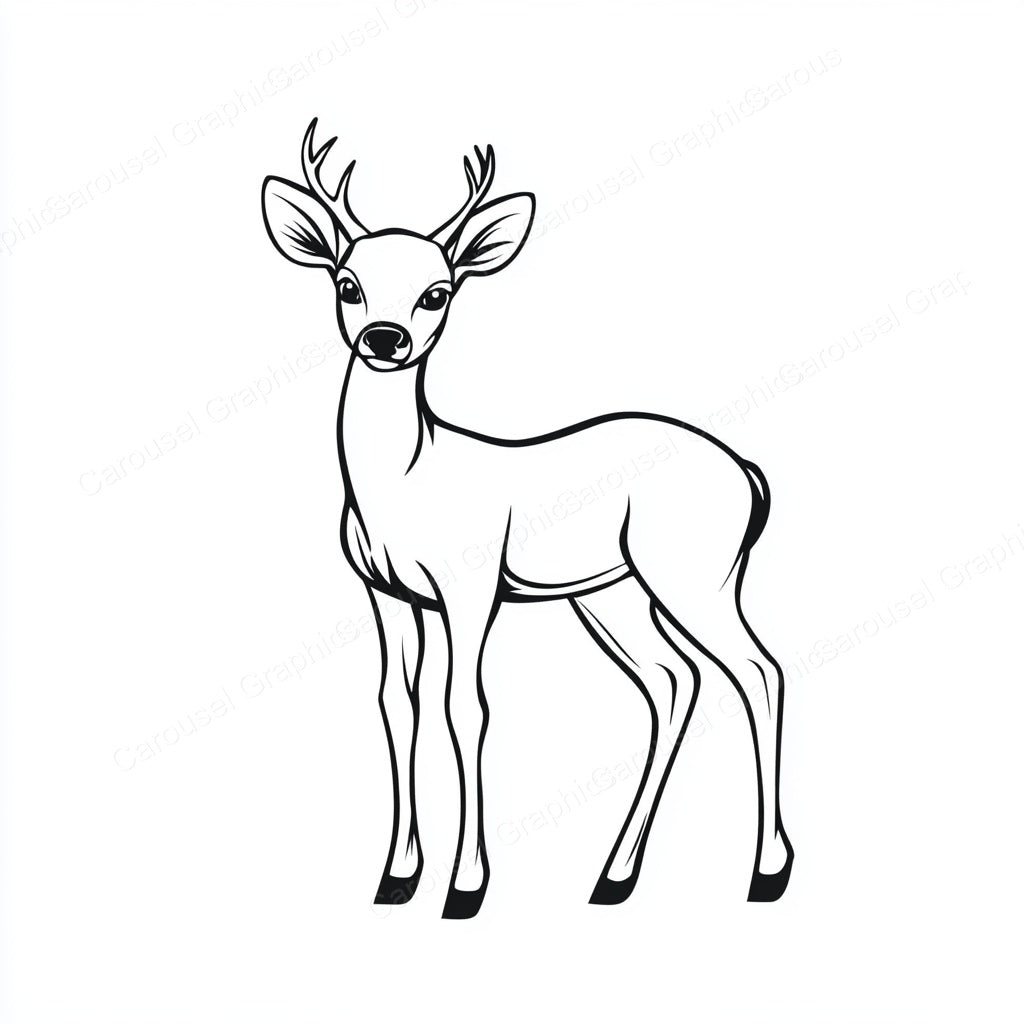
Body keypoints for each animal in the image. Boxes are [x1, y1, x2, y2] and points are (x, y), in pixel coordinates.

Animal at [260, 119, 794, 919]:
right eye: (347, 284)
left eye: (437, 293)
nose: (386, 338)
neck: (407, 483)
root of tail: (750, 475)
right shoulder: (383, 591)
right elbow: (397, 705)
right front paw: (396, 876)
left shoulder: (471, 583)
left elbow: (467, 708)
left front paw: (465, 886)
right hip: (612, 594)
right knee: (673, 682)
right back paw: (613, 878)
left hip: (695, 573)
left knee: (759, 672)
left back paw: (767, 872)